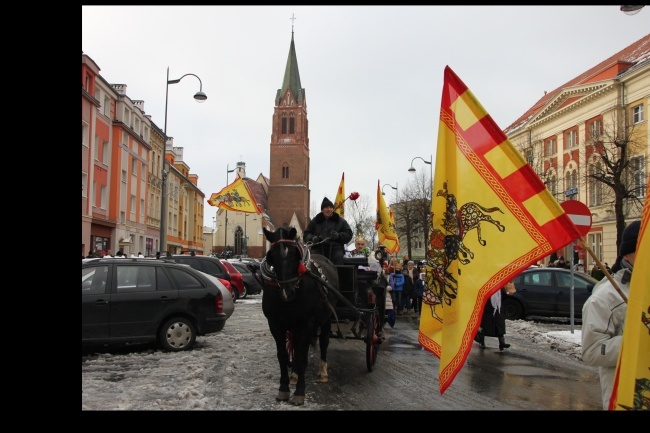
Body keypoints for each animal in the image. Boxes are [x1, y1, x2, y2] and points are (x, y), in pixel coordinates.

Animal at [260, 224, 340, 404]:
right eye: (271, 257)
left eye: (294, 254)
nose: (287, 292)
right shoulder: (275, 324)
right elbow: (283, 355)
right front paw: (284, 389)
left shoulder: (306, 324)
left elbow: (303, 357)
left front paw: (299, 392)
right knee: (296, 346)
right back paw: (294, 374)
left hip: (326, 319)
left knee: (324, 342)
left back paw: (322, 372)